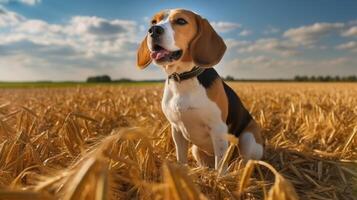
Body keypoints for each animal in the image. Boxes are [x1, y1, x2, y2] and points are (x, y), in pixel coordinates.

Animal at [137, 8, 264, 170]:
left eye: (181, 21)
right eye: (153, 22)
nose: (153, 30)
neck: (183, 79)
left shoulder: (218, 130)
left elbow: (220, 166)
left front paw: (220, 177)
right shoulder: (176, 130)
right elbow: (181, 158)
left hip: (248, 139)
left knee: (246, 162)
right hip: (195, 149)